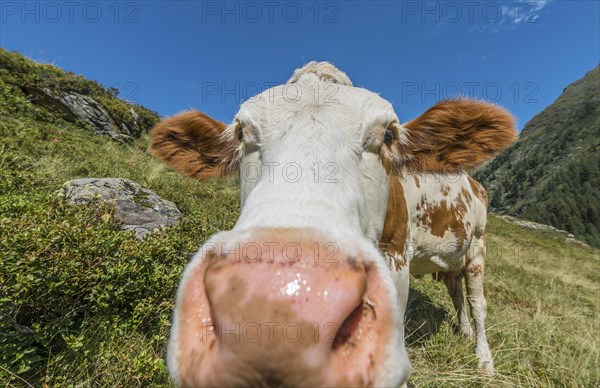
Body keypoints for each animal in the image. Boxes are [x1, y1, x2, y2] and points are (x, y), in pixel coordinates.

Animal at [149, 62, 516, 386]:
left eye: (388, 134)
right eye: (241, 133)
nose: (271, 303)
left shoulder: (397, 254)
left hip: (478, 247)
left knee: (478, 304)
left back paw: (484, 361)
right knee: (457, 293)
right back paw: (463, 331)